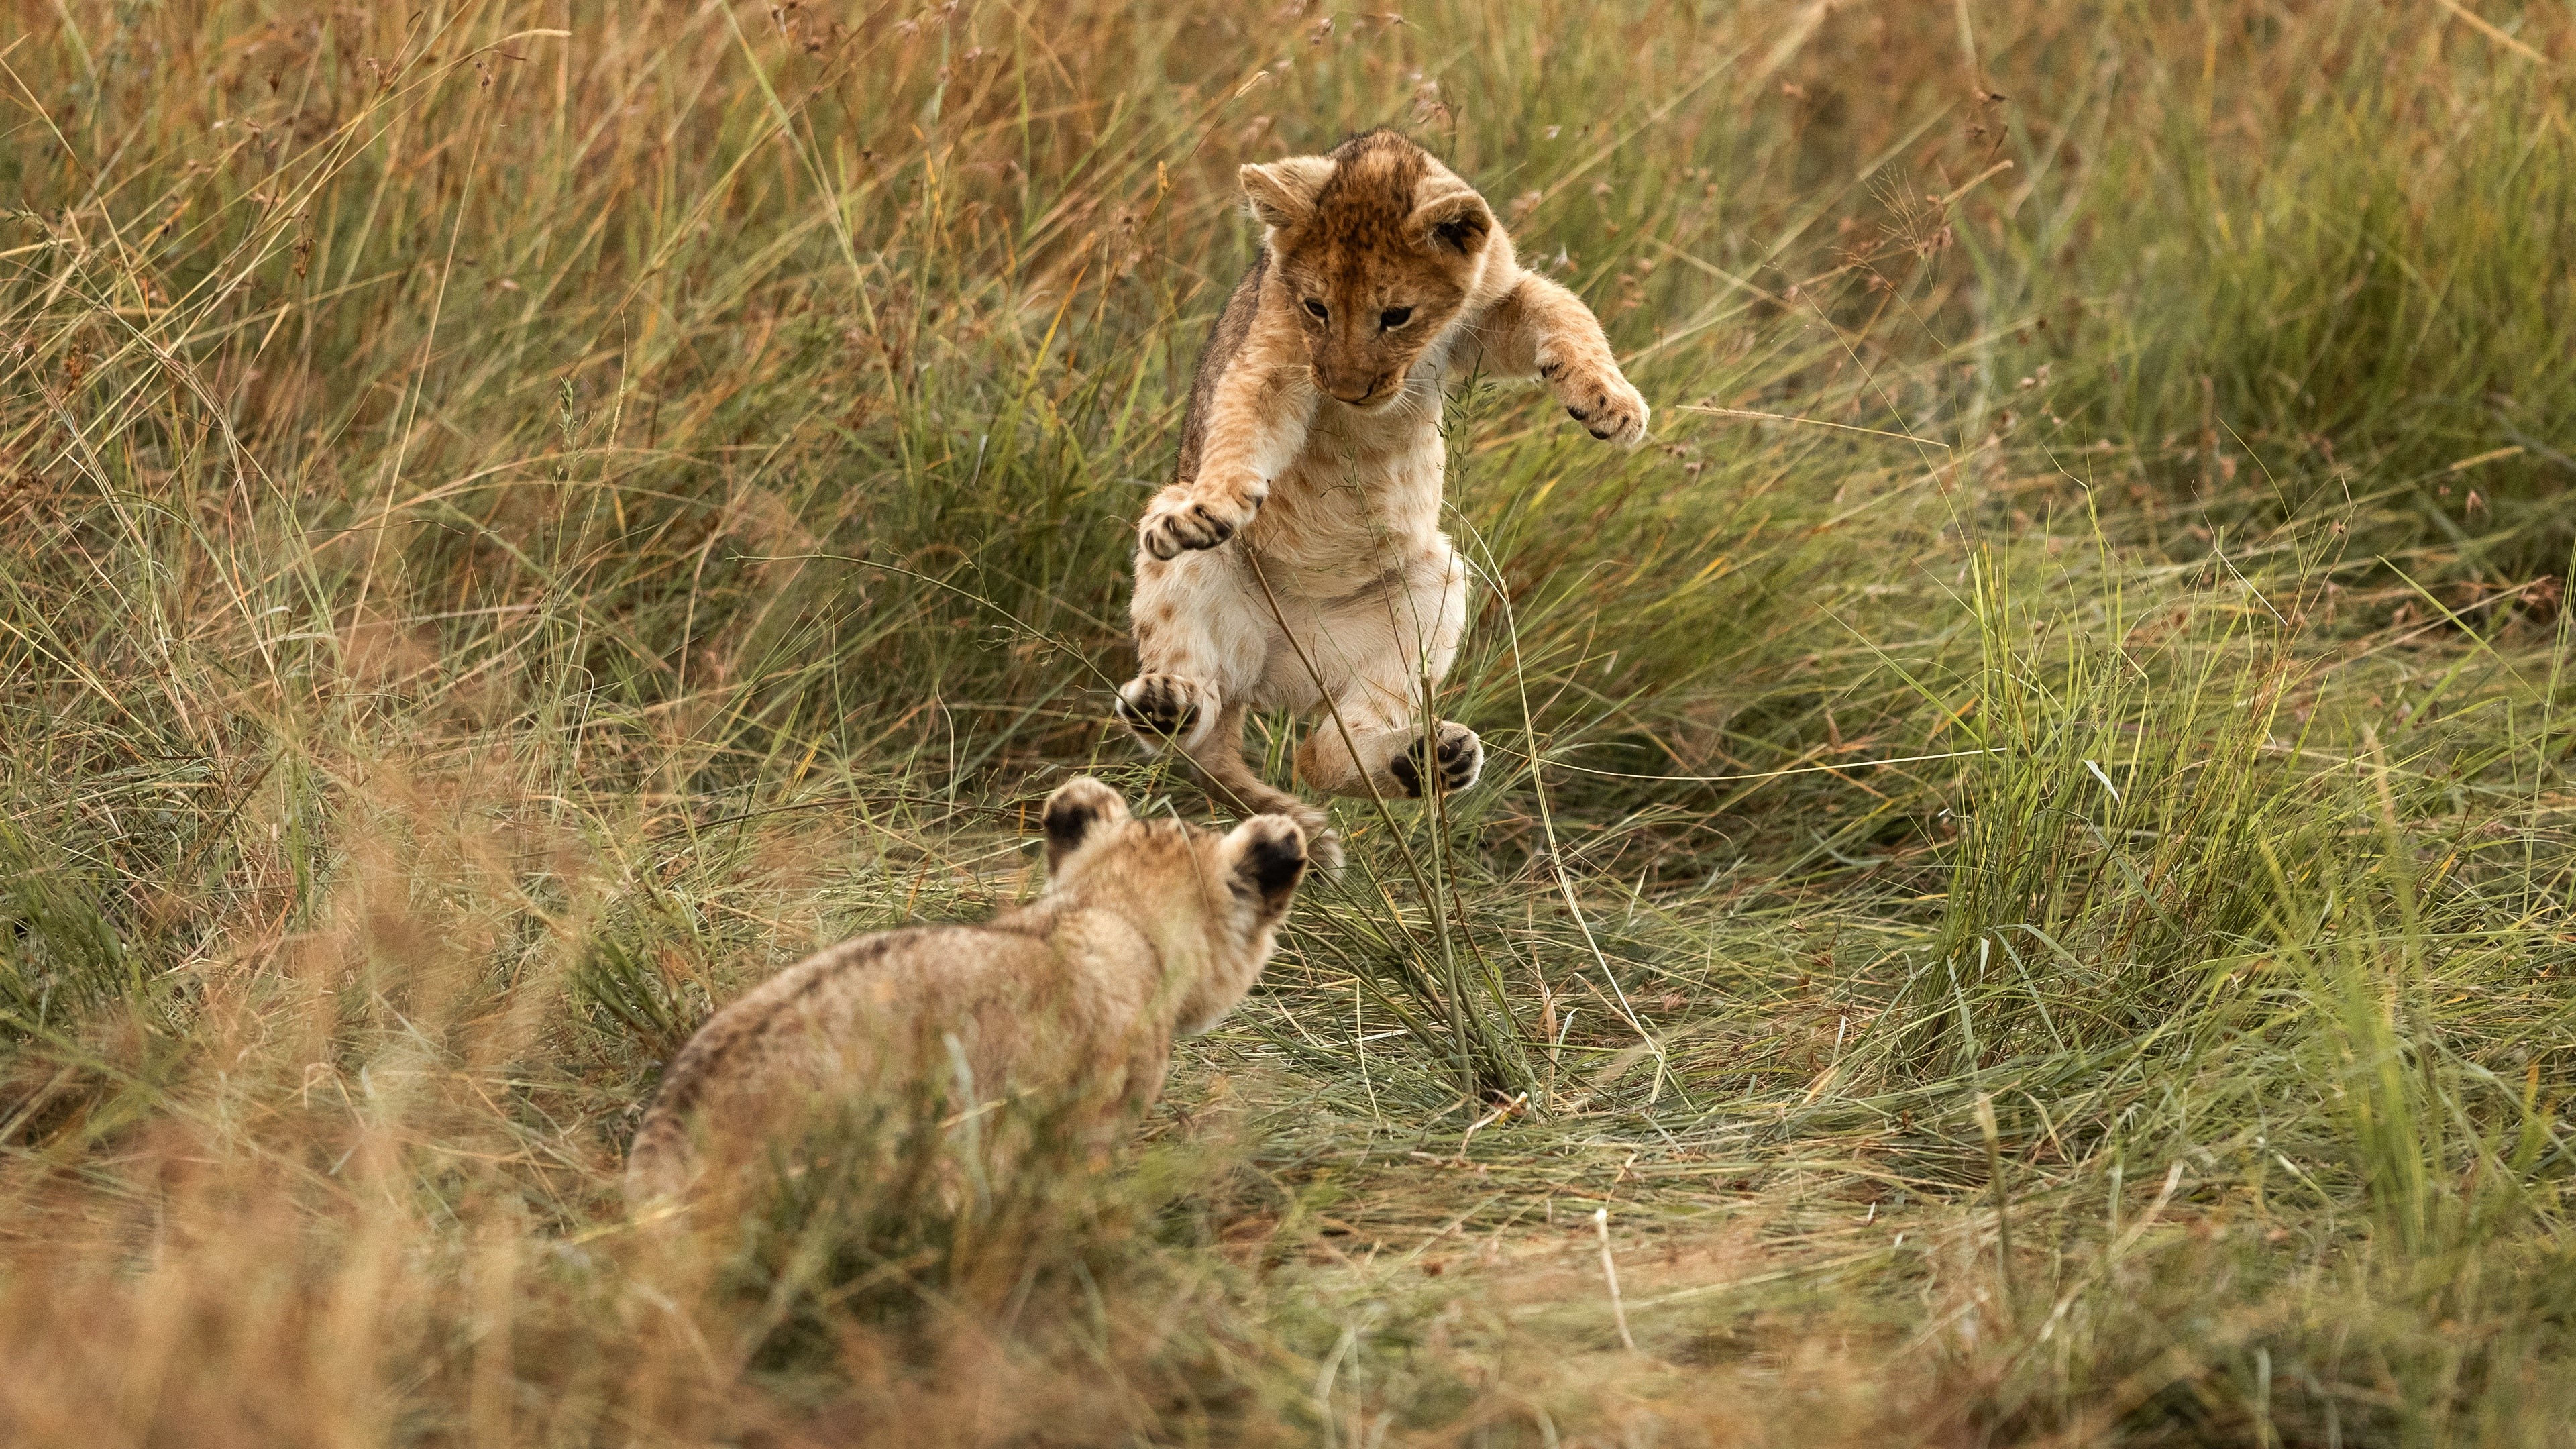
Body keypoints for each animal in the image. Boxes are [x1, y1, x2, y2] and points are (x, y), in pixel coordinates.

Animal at [1116, 128, 1649, 868]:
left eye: (1396, 316)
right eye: (1316, 307)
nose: (1346, 390)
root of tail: (1280, 679)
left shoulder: (1493, 313)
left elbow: (1566, 312)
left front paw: (1611, 404)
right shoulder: (1272, 353)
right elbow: (1244, 424)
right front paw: (1213, 506)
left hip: (1433, 590)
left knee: (1318, 754)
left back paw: (1425, 763)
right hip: (1185, 570)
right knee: (1197, 735)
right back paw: (1165, 704)